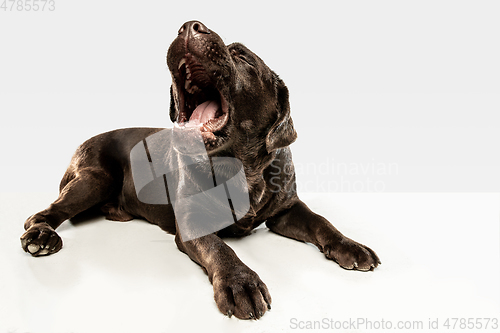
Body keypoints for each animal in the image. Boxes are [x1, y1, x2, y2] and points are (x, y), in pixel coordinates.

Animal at [18, 20, 378, 320]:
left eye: (244, 57)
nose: (189, 26)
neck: (242, 168)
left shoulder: (287, 209)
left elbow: (322, 222)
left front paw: (351, 246)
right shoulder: (192, 220)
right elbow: (220, 247)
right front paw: (240, 282)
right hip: (94, 178)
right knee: (44, 212)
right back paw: (41, 236)